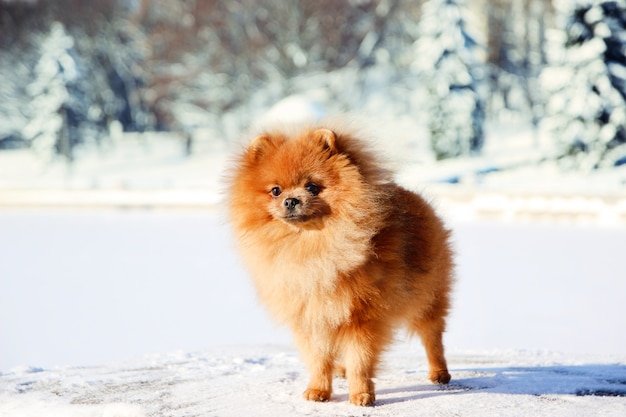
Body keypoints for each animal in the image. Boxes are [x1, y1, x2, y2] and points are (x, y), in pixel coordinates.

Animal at [227, 121, 450, 404]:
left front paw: (362, 395)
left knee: (432, 335)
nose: (291, 200)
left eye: (312, 187)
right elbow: (319, 360)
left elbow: (361, 360)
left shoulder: (362, 316)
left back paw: (440, 373)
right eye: (275, 190)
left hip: (427, 296)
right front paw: (319, 389)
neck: (311, 245)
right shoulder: (312, 317)